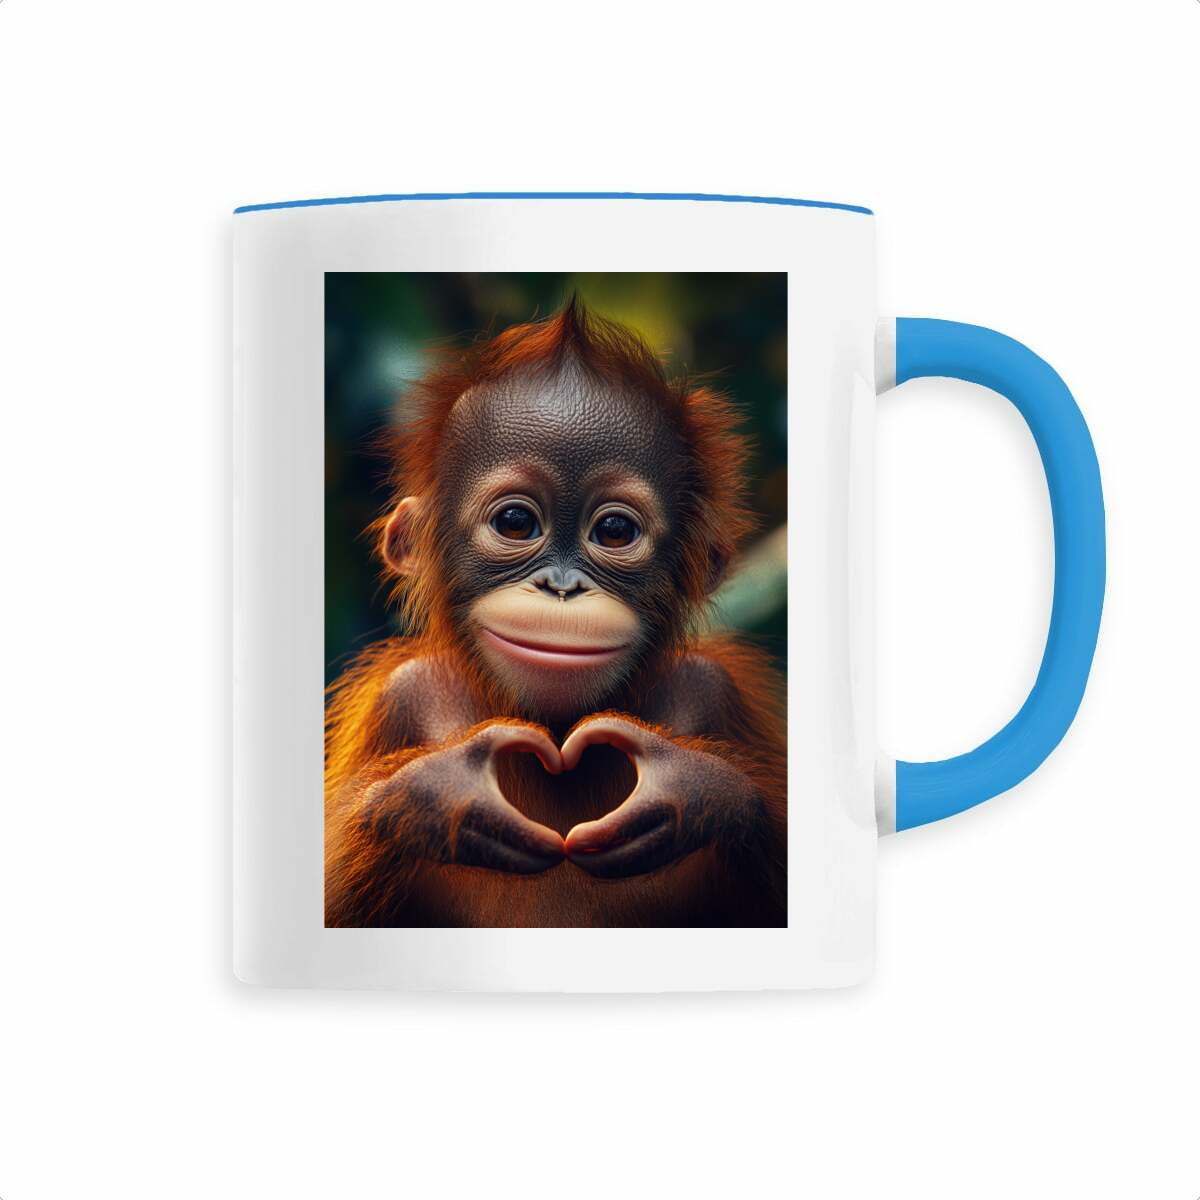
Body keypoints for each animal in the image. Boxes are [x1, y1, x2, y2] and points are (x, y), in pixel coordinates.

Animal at [325, 297, 787, 927]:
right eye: (516, 522)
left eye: (614, 530)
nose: (561, 587)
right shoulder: (396, 697)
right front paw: (437, 795)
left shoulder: (716, 688)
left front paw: (696, 790)